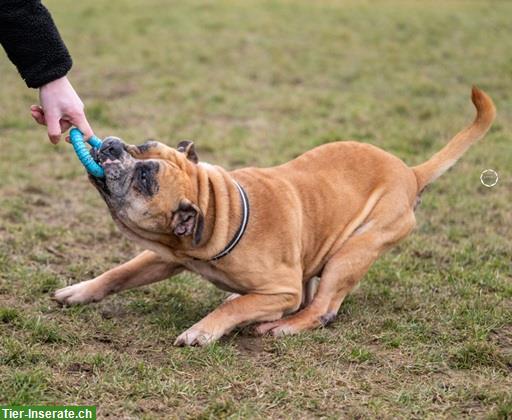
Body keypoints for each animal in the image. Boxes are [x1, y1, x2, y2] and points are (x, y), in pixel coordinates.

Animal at [53, 87, 496, 346]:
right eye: (142, 145)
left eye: (145, 178)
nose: (112, 145)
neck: (221, 211)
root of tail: (411, 172)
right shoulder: (164, 256)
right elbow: (119, 273)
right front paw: (80, 291)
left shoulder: (283, 288)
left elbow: (231, 311)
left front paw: (202, 331)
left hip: (351, 252)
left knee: (321, 309)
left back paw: (280, 325)